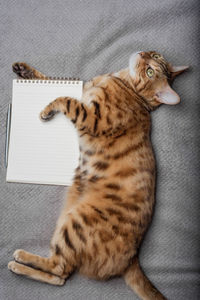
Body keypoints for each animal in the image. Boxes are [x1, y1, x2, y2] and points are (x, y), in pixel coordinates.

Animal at [8, 51, 188, 300]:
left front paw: (47, 108)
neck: (118, 80)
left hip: (75, 223)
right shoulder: (83, 91)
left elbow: (64, 98)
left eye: (151, 70)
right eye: (154, 55)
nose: (142, 54)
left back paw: (19, 261)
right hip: (67, 219)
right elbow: (52, 79)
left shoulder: (92, 118)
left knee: (60, 270)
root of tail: (132, 258)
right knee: (60, 274)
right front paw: (24, 70)